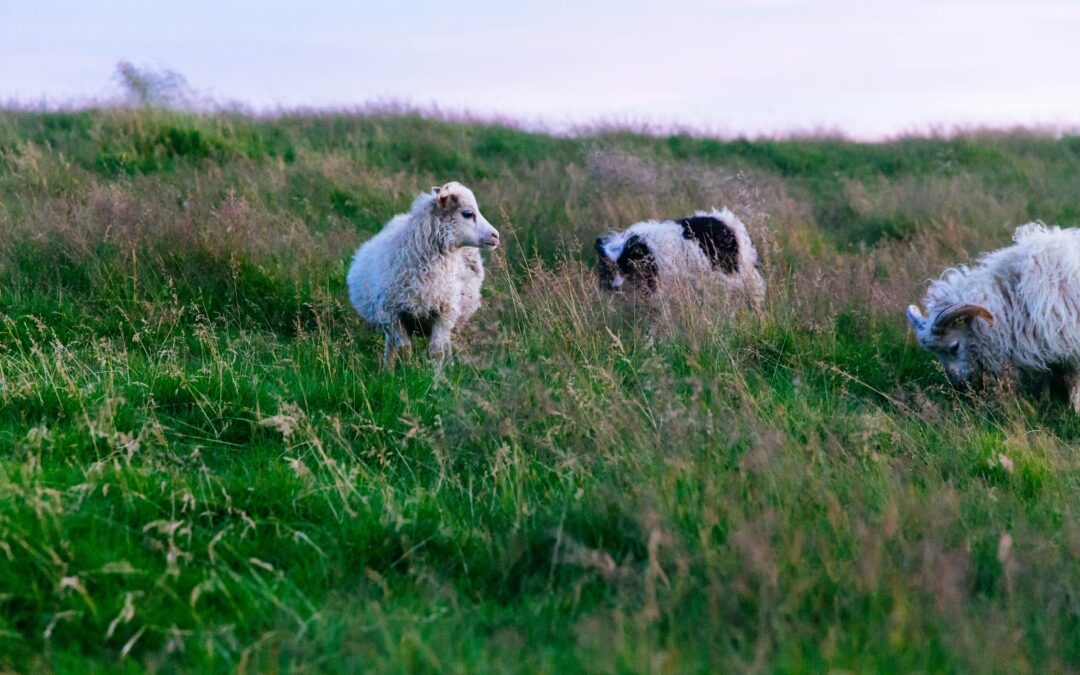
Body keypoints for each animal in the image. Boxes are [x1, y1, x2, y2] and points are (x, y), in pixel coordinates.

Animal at [343, 180, 498, 362]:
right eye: (468, 213)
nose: (496, 236)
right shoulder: (392, 314)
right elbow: (404, 349)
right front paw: (405, 369)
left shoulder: (444, 313)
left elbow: (437, 351)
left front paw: (436, 370)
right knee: (391, 346)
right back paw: (387, 367)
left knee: (446, 346)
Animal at [907, 223, 1080, 408]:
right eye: (936, 353)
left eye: (954, 346)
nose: (959, 385)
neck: (1011, 298)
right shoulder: (1039, 345)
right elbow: (1045, 377)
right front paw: (1044, 403)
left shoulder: (1069, 344)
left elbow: (1073, 382)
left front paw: (1073, 409)